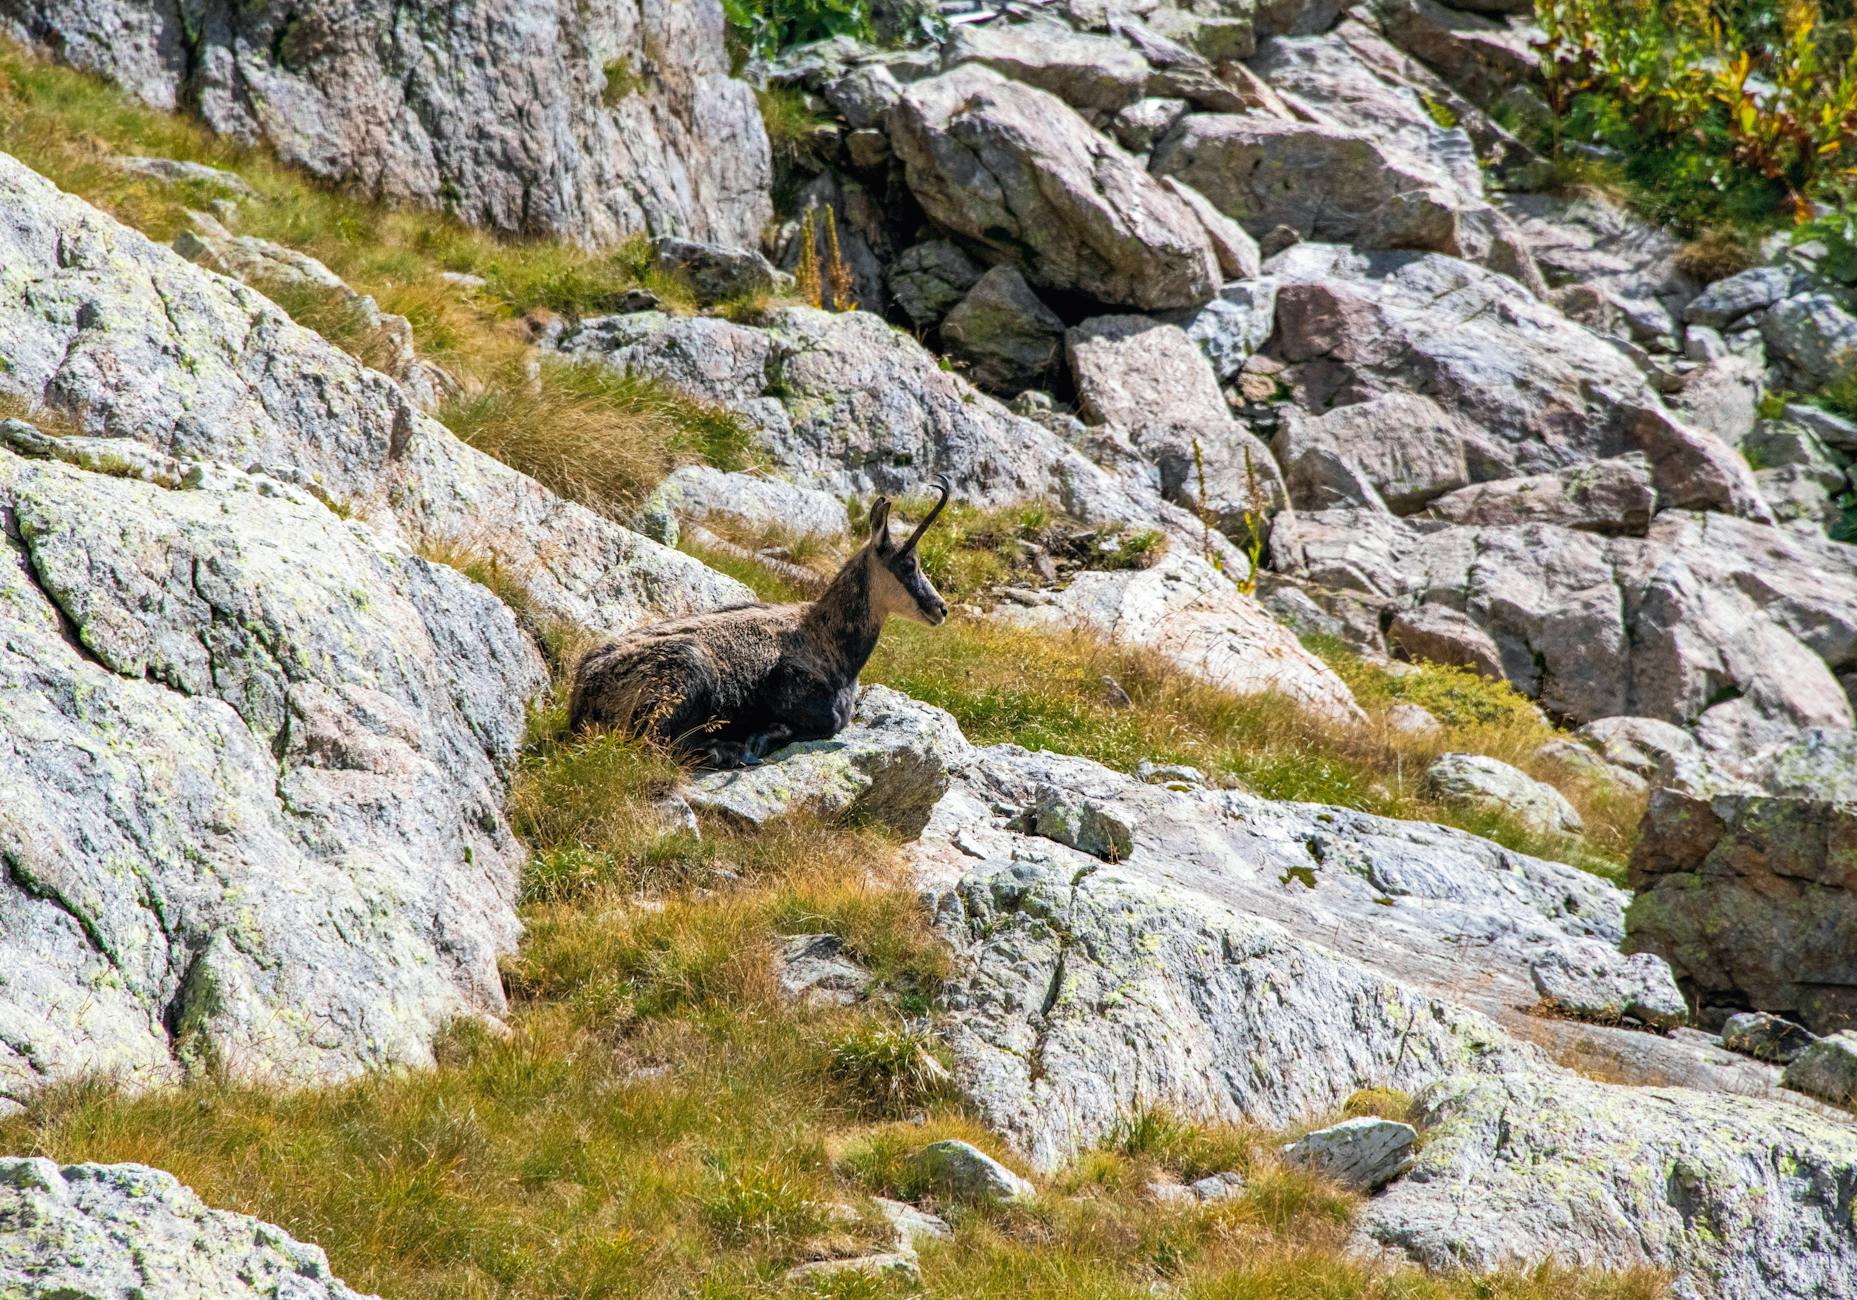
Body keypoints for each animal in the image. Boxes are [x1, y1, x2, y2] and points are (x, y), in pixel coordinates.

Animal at [569, 481, 952, 768]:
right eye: (909, 565)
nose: (941, 608)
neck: (826, 639)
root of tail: (583, 696)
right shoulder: (786, 683)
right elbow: (829, 721)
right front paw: (763, 735)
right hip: (686, 671)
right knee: (655, 742)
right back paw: (727, 751)